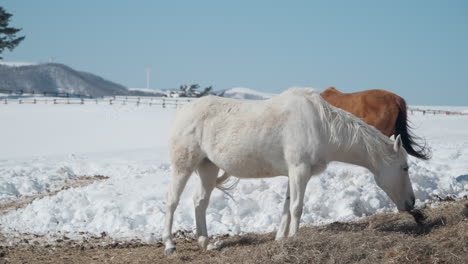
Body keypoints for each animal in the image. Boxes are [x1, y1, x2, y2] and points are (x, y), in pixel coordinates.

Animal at [163, 88, 414, 254]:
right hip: (183, 165)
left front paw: (281, 239)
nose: (411, 203)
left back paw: (205, 243)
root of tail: (182, 112)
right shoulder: (299, 170)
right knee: (173, 201)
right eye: (405, 167)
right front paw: (294, 238)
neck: (321, 126)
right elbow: (296, 208)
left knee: (200, 202)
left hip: (208, 166)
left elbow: (286, 207)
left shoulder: (294, 174)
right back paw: (169, 244)